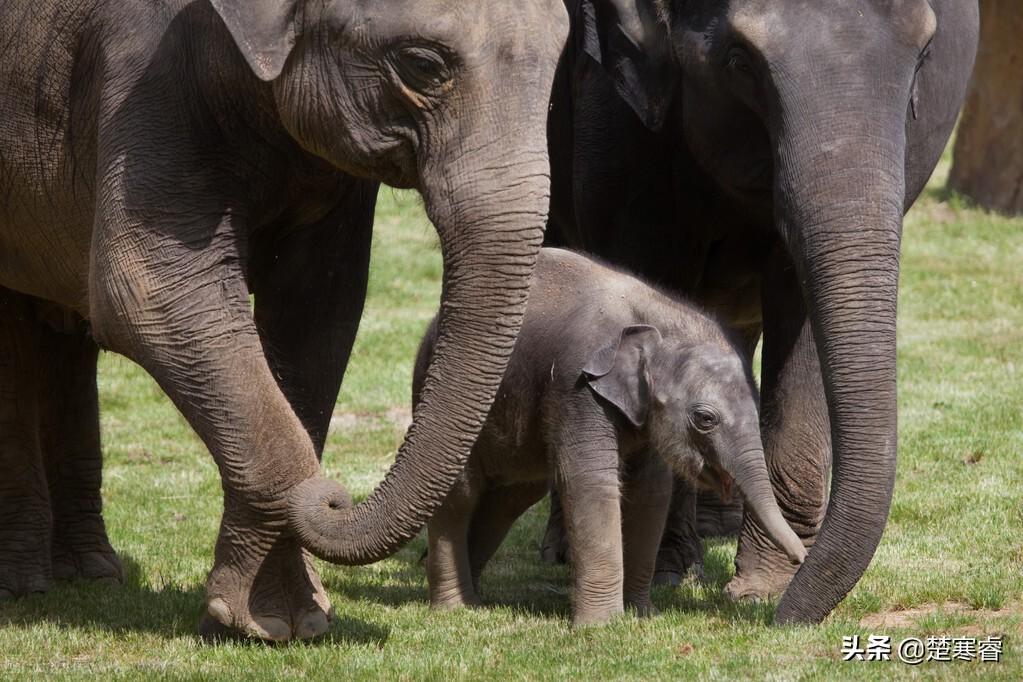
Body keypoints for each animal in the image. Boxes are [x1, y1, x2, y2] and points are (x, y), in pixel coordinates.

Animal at [0, 0, 568, 642]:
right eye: (422, 64)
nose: (336, 497)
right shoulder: (141, 67)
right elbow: (145, 291)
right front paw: (261, 621)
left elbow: (320, 307)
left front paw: (287, 621)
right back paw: (24, 586)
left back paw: (88, 574)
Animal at [409, 248, 806, 625]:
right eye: (705, 418)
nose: (801, 557)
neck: (657, 318)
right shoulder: (577, 386)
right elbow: (591, 484)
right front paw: (601, 626)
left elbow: (650, 492)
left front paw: (643, 614)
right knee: (460, 493)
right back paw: (454, 608)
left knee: (509, 500)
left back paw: (475, 599)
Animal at [540, 0, 977, 625]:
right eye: (739, 61)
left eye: (924, 55)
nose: (782, 620)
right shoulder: (616, 128)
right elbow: (646, 274)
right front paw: (674, 572)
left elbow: (800, 313)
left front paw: (764, 586)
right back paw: (564, 548)